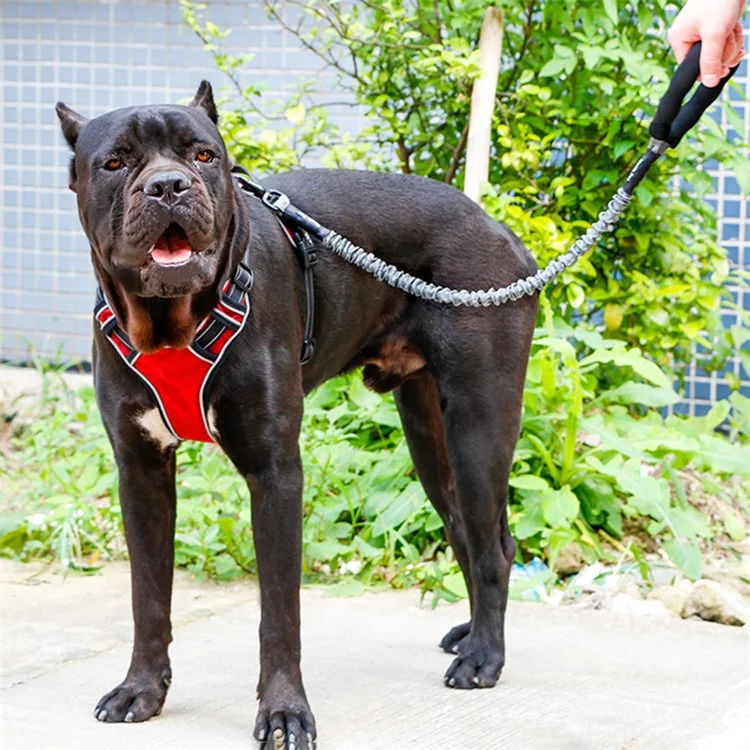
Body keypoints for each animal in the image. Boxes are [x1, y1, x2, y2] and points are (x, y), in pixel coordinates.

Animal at [57, 82, 540, 748]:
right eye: (115, 162)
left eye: (203, 155)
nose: (169, 185)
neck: (172, 323)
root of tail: (501, 230)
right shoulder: (141, 470)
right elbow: (147, 596)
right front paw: (142, 689)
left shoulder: (276, 473)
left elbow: (279, 613)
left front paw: (285, 713)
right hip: (430, 435)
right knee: (472, 534)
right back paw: (470, 637)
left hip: (479, 423)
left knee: (492, 549)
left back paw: (485, 658)